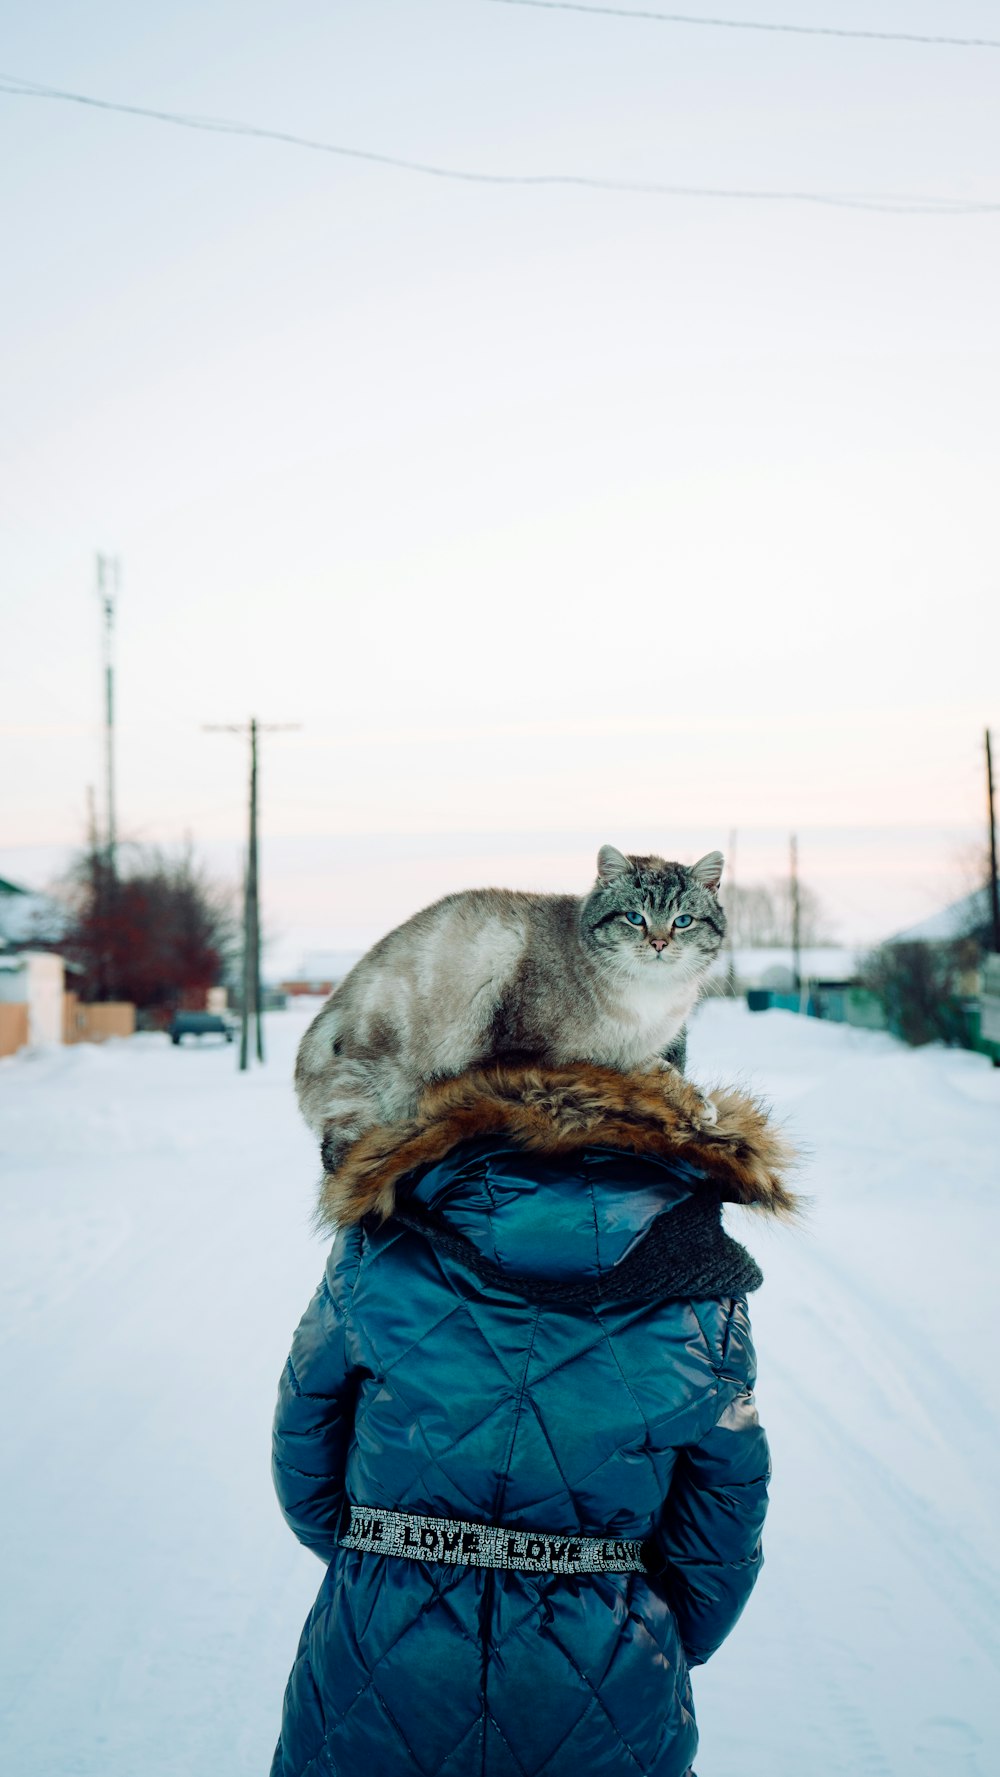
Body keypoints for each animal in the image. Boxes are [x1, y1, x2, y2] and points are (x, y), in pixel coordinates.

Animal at [296, 842, 728, 1172]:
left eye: (683, 921)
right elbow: (639, 1077)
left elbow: (662, 1071)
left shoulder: (636, 1050)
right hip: (371, 1084)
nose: (659, 943)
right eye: (635, 918)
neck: (649, 998)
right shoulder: (557, 1053)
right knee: (340, 1155)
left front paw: (696, 1104)